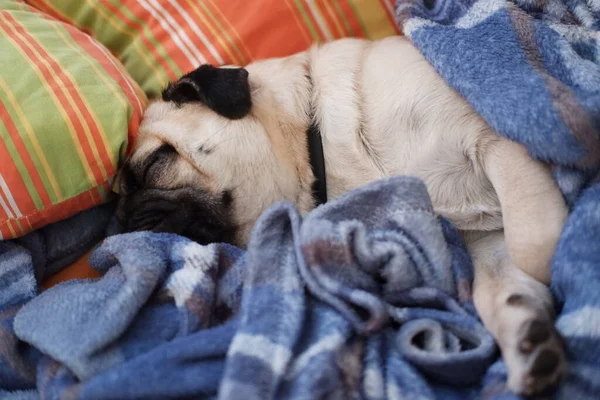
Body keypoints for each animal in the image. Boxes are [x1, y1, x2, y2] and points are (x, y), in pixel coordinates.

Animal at [116, 36, 568, 394]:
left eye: (156, 163)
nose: (122, 220)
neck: (314, 142)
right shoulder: (482, 240)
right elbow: (504, 289)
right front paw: (531, 344)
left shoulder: (492, 135)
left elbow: (533, 243)